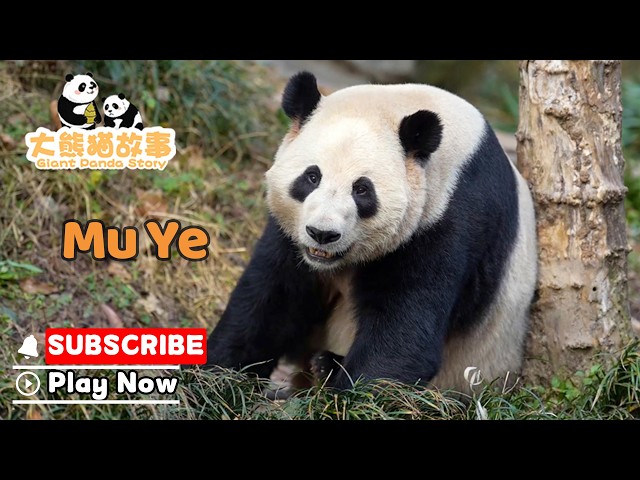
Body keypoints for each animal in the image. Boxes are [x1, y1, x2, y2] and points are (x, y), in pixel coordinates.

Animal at [205, 71, 538, 396]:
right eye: (311, 177)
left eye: (362, 190)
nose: (322, 234)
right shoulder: (292, 234)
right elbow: (272, 303)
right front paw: (215, 379)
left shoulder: (451, 217)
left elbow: (404, 335)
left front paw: (346, 399)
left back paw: (325, 367)